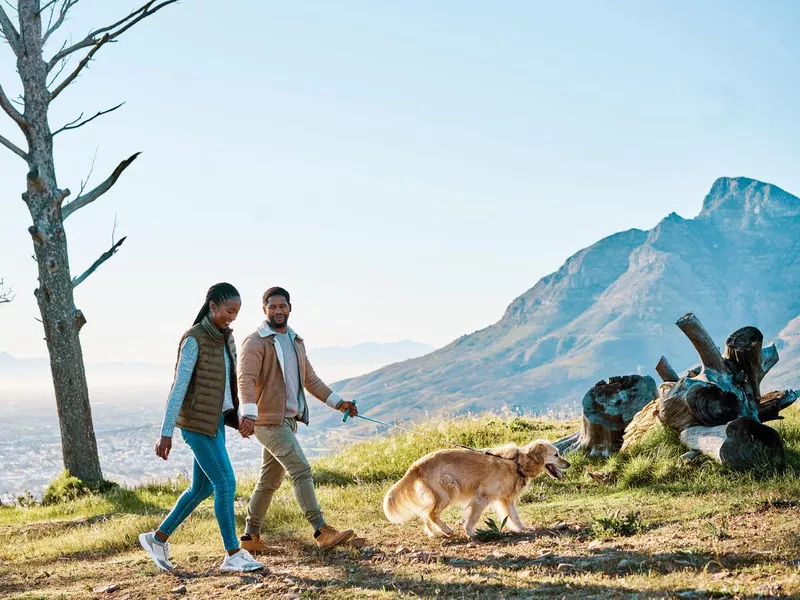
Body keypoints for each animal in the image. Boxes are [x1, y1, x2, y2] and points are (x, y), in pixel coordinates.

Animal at [382, 440, 564, 540]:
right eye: (556, 454)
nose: (568, 464)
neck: (517, 463)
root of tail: (416, 465)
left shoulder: (507, 499)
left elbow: (514, 516)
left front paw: (522, 528)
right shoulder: (482, 496)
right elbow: (473, 517)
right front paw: (470, 532)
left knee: (425, 514)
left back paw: (435, 533)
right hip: (449, 489)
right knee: (431, 514)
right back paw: (446, 530)